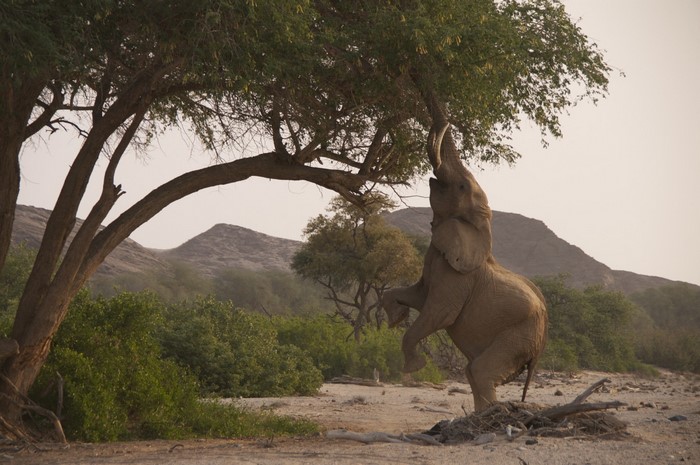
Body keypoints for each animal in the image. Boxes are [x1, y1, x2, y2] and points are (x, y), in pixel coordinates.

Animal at [381, 101, 548, 412]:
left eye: (461, 187)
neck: (482, 227)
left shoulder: (458, 277)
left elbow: (438, 313)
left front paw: (414, 366)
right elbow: (417, 297)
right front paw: (396, 317)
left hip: (522, 334)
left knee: (480, 371)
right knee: (474, 372)